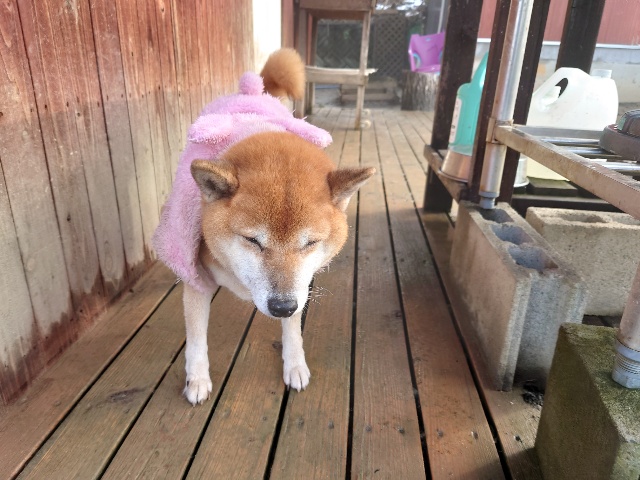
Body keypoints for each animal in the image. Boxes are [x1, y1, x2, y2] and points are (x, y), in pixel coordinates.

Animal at [153, 49, 375, 405]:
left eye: (310, 243)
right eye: (252, 240)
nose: (282, 307)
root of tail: (252, 92)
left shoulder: (301, 284)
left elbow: (294, 330)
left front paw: (295, 364)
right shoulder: (196, 279)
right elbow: (196, 338)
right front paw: (197, 378)